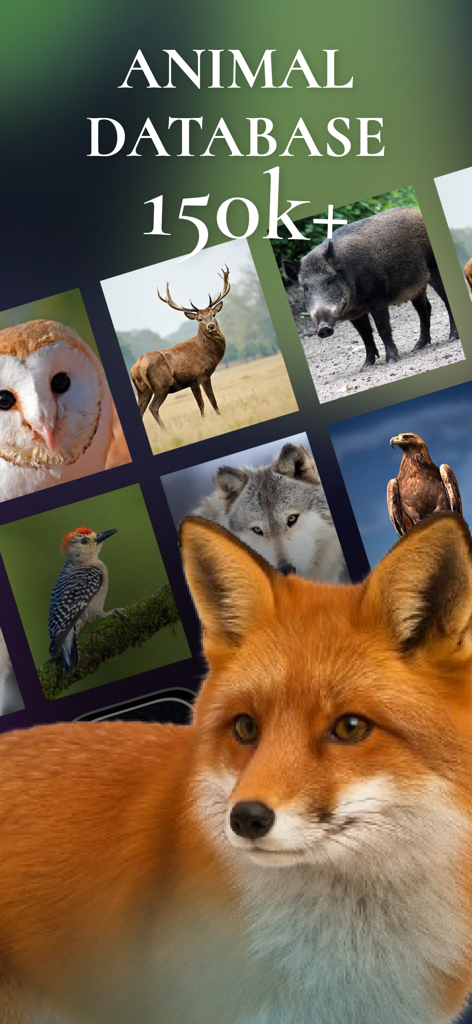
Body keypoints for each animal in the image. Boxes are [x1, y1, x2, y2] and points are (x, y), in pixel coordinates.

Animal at [130, 266, 231, 430]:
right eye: (199, 319)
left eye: (213, 314)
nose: (211, 326)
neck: (207, 352)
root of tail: (137, 367)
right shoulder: (202, 374)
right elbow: (212, 400)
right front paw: (220, 417)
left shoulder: (192, 381)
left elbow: (201, 404)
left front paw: (203, 422)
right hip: (161, 386)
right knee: (153, 407)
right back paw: (165, 431)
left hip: (142, 390)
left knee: (141, 409)